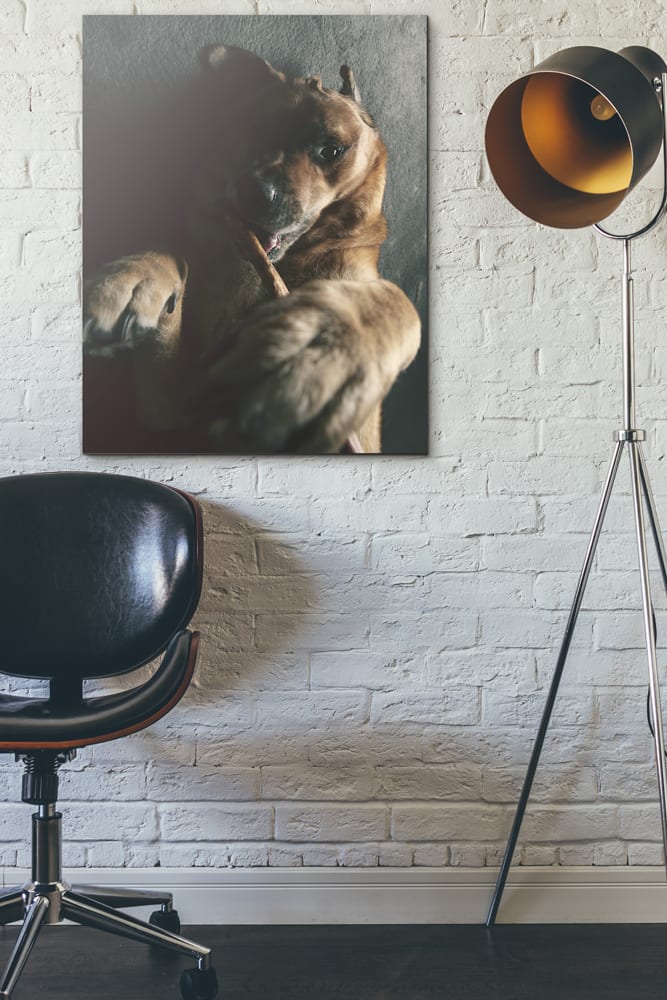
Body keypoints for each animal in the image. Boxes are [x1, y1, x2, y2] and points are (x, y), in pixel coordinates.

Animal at [81, 46, 420, 454]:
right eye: (255, 131)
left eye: (331, 150)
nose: (252, 191)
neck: (288, 262)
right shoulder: (165, 411)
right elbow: (172, 252)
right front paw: (132, 278)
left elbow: (394, 299)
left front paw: (336, 338)